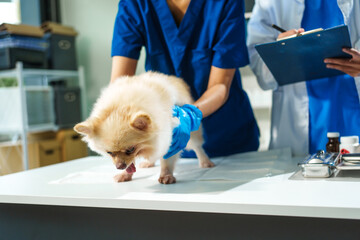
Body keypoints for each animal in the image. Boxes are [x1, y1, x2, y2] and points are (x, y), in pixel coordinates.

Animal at [74, 71, 214, 184]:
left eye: (130, 149)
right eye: (109, 153)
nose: (119, 166)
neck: (122, 106)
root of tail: (175, 79)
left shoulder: (172, 137)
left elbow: (167, 160)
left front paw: (166, 175)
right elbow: (131, 164)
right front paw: (125, 174)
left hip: (192, 133)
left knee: (197, 147)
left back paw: (205, 162)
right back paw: (148, 162)